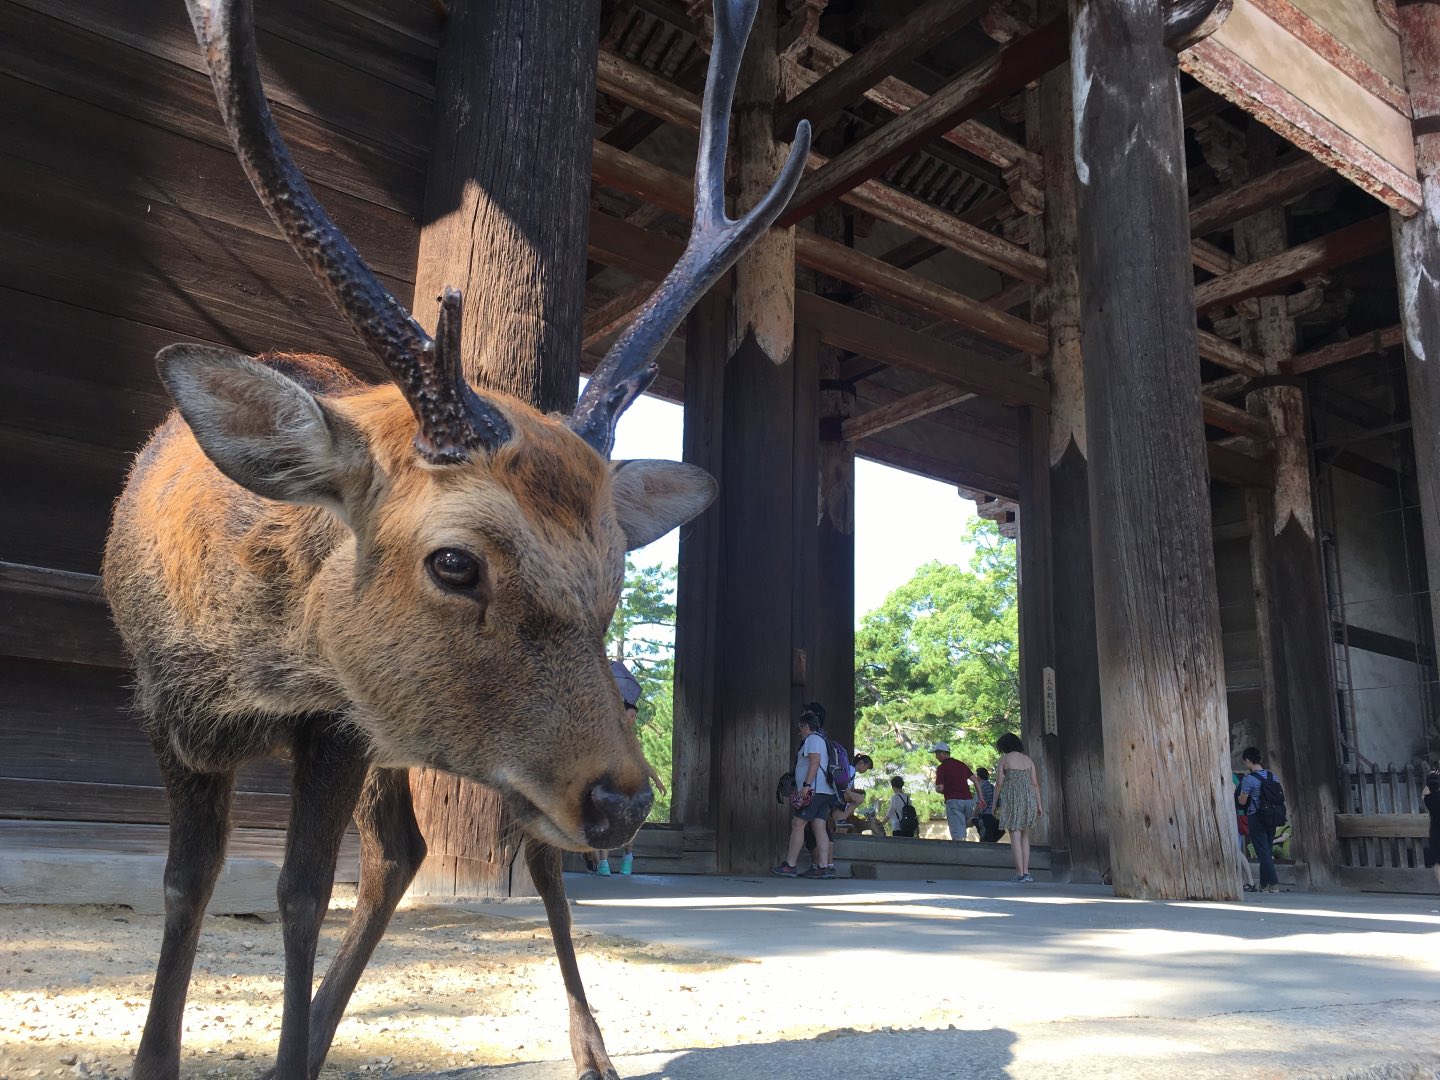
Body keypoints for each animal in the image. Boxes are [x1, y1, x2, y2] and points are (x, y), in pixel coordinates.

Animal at [101, 0, 810, 1077]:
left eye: (615, 582)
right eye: (453, 562)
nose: (624, 802)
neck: (249, 658)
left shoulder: (338, 723)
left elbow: (300, 892)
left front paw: (289, 1051)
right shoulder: (164, 707)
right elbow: (190, 888)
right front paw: (179, 1055)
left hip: (502, 757)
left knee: (515, 858)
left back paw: (588, 1047)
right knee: (406, 848)